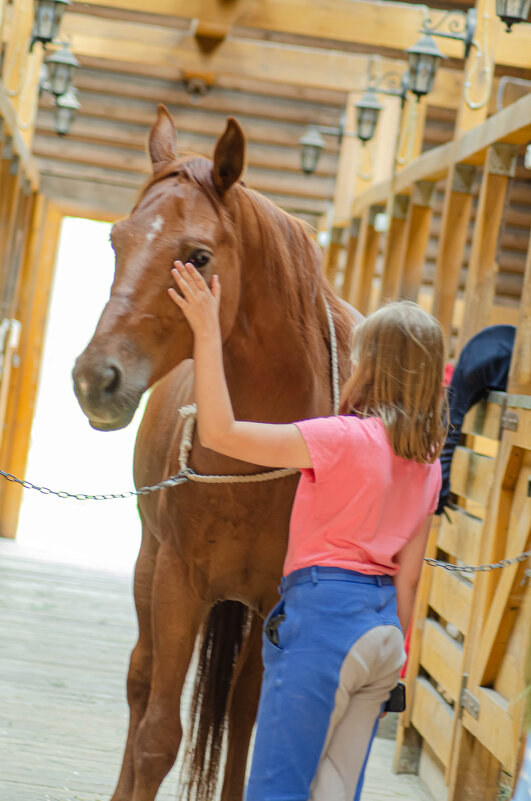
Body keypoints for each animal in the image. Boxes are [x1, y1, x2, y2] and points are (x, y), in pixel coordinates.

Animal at [71, 106, 362, 800]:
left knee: (240, 707)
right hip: (149, 566)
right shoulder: (178, 583)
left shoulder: (279, 603)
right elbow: (156, 735)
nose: (95, 379)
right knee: (141, 681)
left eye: (198, 256)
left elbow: (247, 726)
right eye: (116, 242)